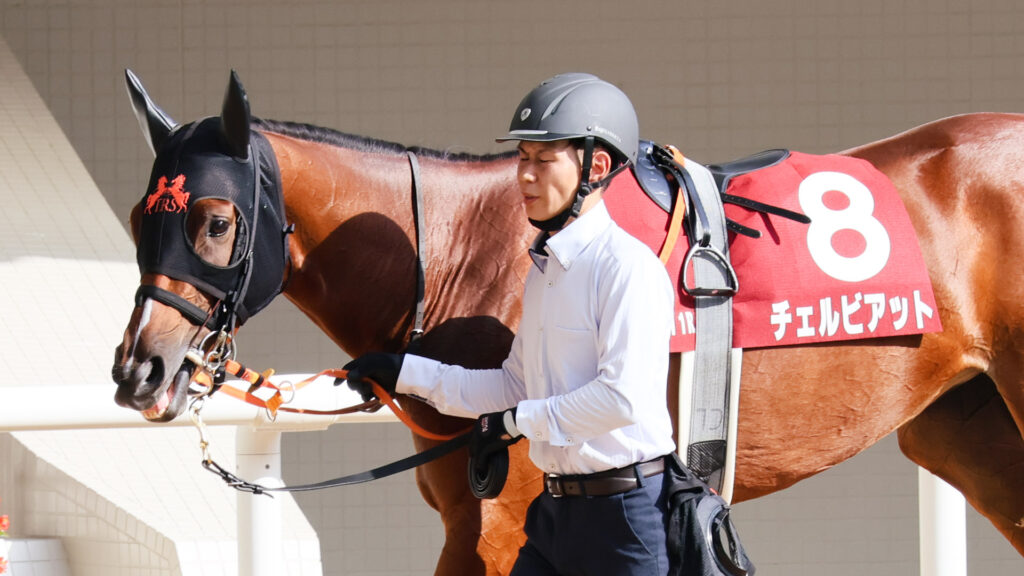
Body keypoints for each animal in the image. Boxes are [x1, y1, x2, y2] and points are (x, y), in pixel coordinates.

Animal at [111, 70, 1024, 574]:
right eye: (137, 217)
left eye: (215, 222)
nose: (137, 372)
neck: (475, 249)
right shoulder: (467, 517)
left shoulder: (500, 518)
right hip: (968, 431)